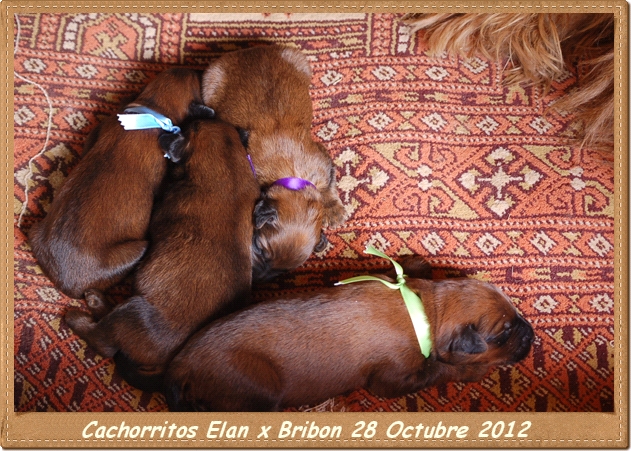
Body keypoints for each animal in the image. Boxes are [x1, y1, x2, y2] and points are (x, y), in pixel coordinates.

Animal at [202, 44, 346, 280]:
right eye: (260, 249)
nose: (257, 279)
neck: (292, 175)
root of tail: (252, 50)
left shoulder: (324, 161)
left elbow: (330, 185)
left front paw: (333, 210)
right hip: (209, 80)